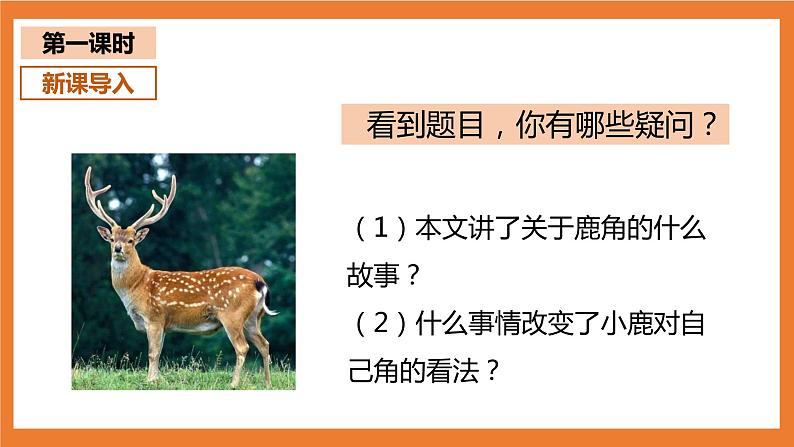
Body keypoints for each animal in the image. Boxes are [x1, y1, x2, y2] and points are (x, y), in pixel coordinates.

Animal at [84, 166, 278, 388]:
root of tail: (260, 282)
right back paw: (267, 383)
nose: (118, 249)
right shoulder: (164, 324)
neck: (136, 286)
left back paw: (234, 383)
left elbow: (152, 353)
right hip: (254, 317)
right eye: (112, 239)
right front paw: (156, 379)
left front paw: (150, 381)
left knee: (242, 347)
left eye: (131, 240)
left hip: (232, 313)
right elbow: (159, 352)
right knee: (264, 344)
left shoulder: (155, 316)